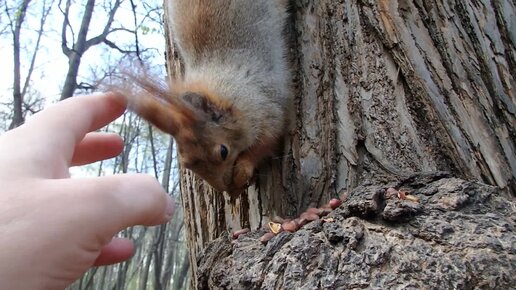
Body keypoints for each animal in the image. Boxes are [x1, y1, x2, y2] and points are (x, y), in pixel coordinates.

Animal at [121, 1, 290, 194]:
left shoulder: (268, 105)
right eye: (186, 164)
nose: (223, 188)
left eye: (223, 152)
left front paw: (242, 170)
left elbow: (267, 141)